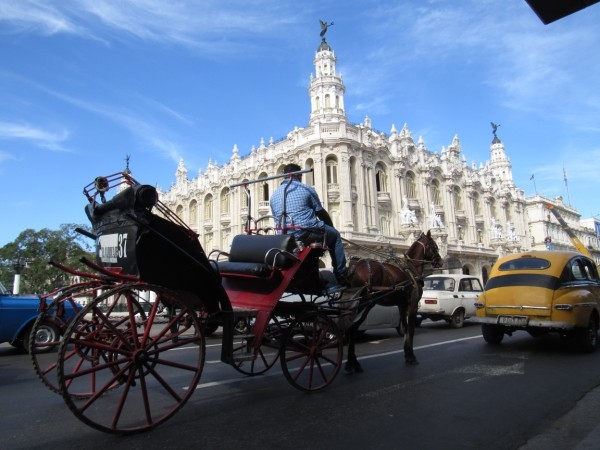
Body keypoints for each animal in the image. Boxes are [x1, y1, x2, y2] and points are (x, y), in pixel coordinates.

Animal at [342, 230, 446, 374]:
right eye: (434, 246)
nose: (440, 261)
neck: (410, 269)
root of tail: (353, 269)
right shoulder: (413, 304)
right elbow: (411, 329)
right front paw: (411, 356)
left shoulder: (401, 305)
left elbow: (405, 328)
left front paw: (407, 354)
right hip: (365, 303)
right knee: (351, 328)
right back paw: (352, 364)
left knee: (351, 328)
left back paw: (353, 363)